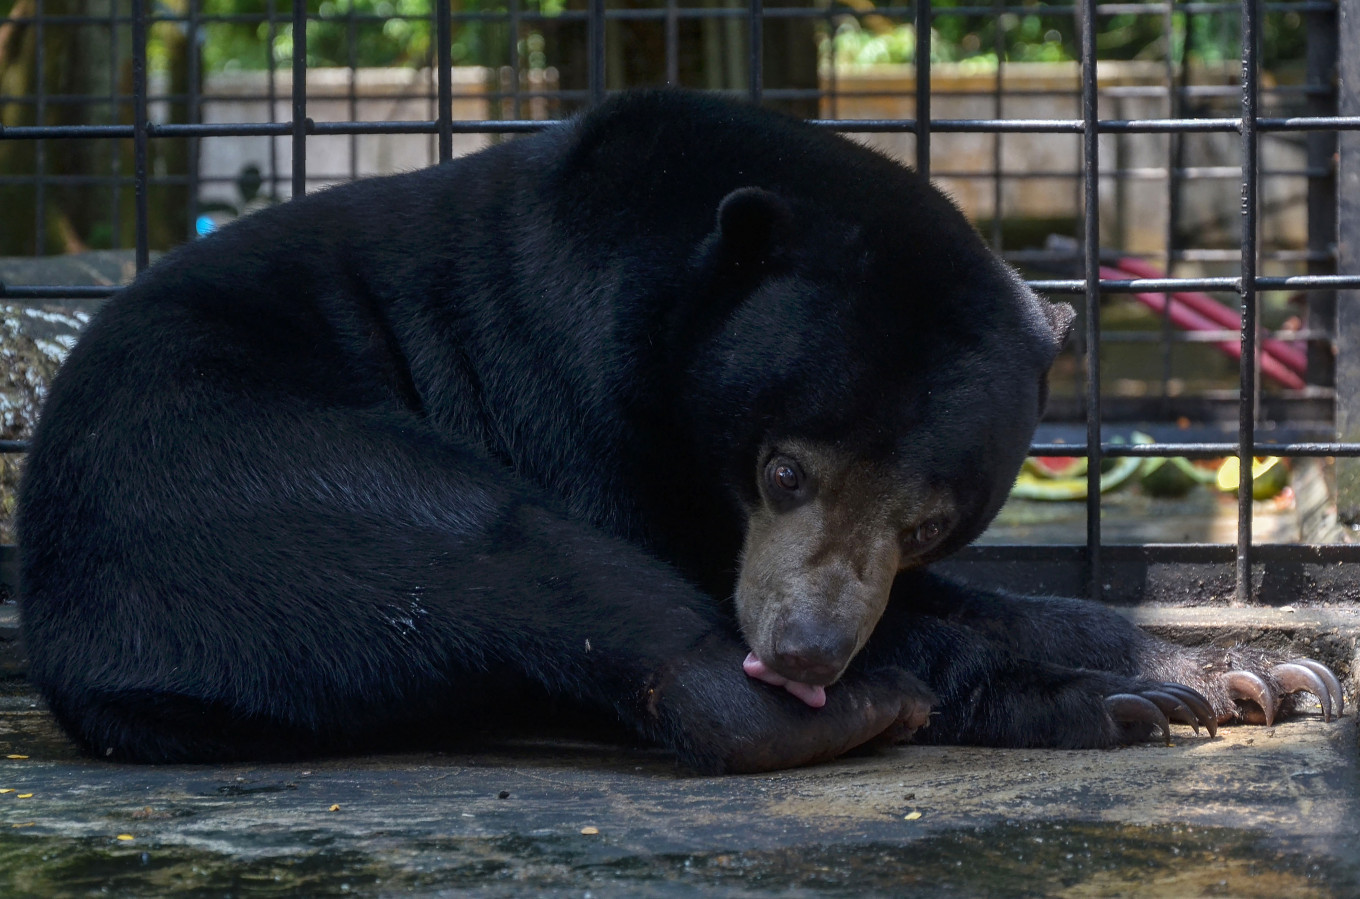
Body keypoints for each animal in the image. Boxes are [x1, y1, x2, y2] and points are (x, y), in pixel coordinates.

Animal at [17, 89, 1341, 774]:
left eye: (926, 517)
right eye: (784, 467)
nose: (808, 650)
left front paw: (1260, 668)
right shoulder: (559, 381)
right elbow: (674, 554)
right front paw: (1147, 689)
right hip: (243, 475)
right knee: (507, 555)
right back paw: (860, 707)